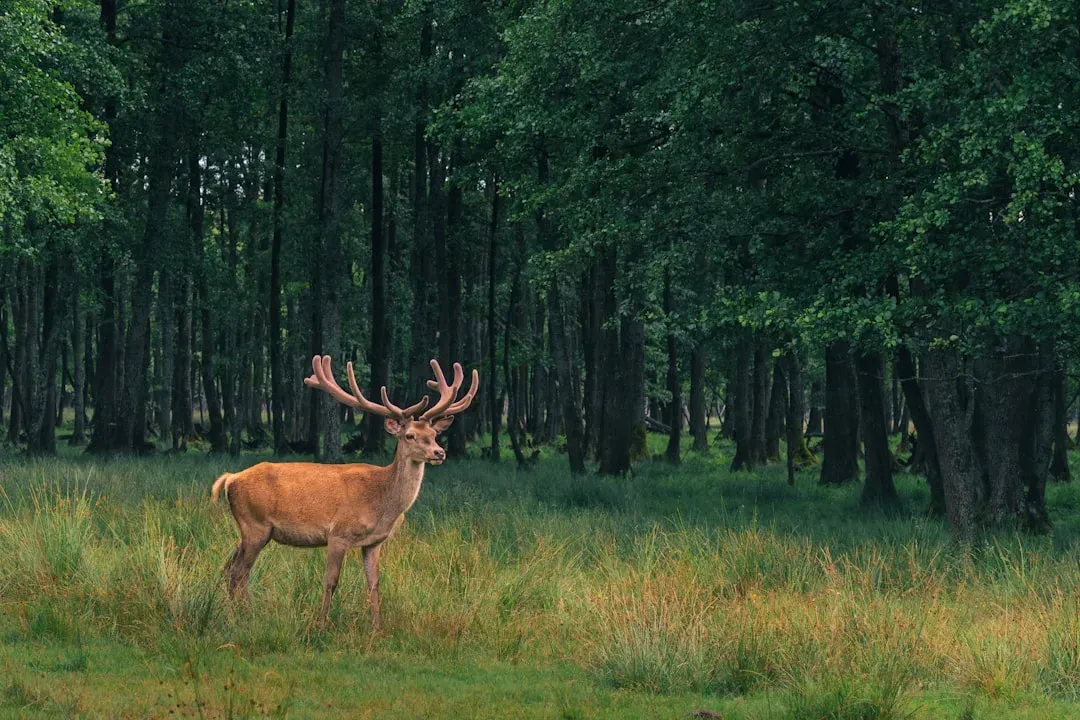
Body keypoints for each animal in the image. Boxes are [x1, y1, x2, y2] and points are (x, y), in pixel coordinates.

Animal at [211, 355, 478, 630]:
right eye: (410, 435)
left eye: (434, 434)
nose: (439, 452)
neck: (383, 502)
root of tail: (230, 479)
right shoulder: (338, 533)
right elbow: (331, 581)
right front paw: (321, 624)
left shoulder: (374, 542)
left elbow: (374, 584)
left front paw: (376, 628)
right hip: (255, 525)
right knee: (238, 572)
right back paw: (244, 617)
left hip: (249, 531)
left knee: (229, 568)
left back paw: (239, 614)